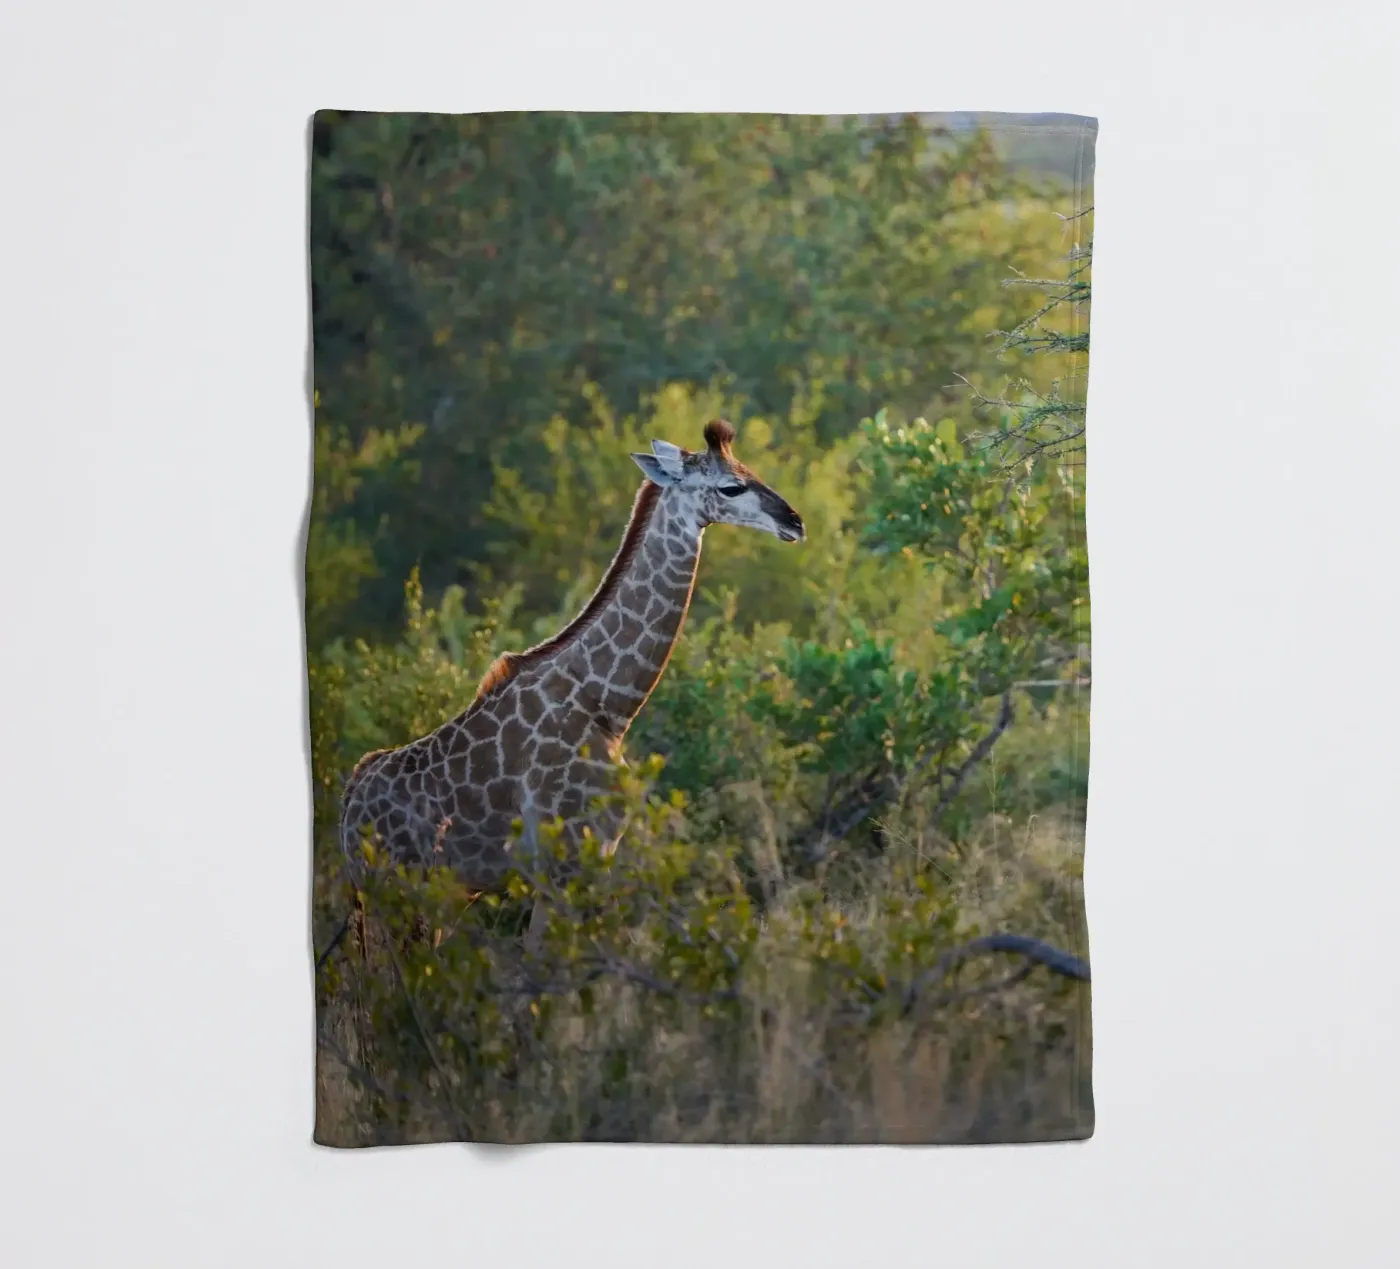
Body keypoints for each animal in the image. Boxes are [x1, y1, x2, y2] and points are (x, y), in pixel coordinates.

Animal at [338, 419, 805, 917]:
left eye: (749, 469)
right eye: (731, 486)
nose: (795, 521)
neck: (608, 703)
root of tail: (346, 811)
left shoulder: (592, 856)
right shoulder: (561, 864)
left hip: (431, 896)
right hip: (392, 892)